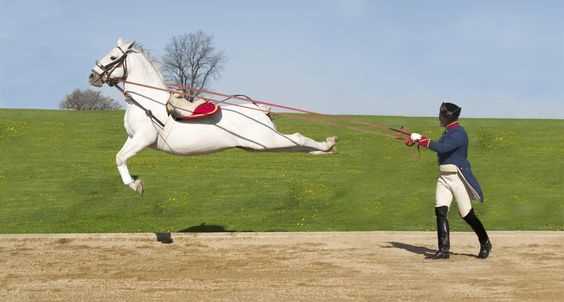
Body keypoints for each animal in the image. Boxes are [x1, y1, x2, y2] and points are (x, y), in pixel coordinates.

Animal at [88, 38, 334, 193]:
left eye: (112, 57)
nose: (93, 76)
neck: (148, 100)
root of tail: (260, 110)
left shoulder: (143, 138)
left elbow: (120, 157)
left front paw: (135, 185)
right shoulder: (132, 138)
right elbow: (119, 156)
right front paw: (135, 182)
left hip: (266, 141)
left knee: (299, 138)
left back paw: (328, 144)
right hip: (261, 145)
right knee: (297, 145)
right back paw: (325, 150)